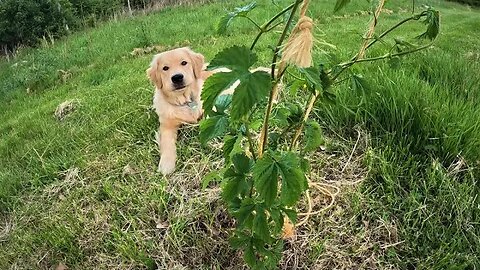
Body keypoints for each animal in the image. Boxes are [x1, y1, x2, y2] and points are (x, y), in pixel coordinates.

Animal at [144, 47, 208, 175]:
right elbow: (167, 143)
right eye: (165, 68)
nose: (177, 77)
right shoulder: (166, 126)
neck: (184, 101)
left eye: (184, 62)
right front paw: (166, 164)